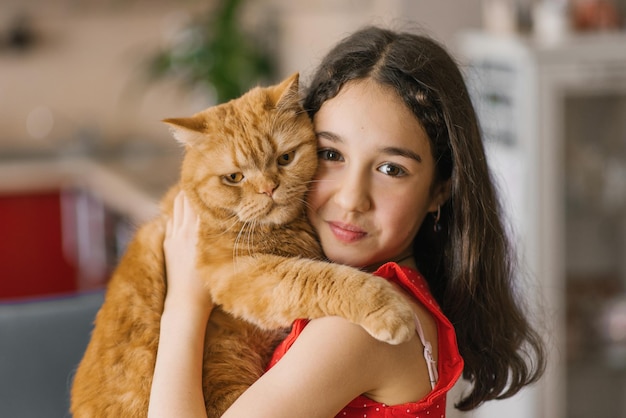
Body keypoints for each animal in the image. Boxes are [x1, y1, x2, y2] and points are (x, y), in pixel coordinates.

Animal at [70, 73, 414, 416]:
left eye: (285, 158)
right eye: (234, 177)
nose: (269, 189)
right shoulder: (241, 275)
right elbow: (321, 278)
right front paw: (389, 307)